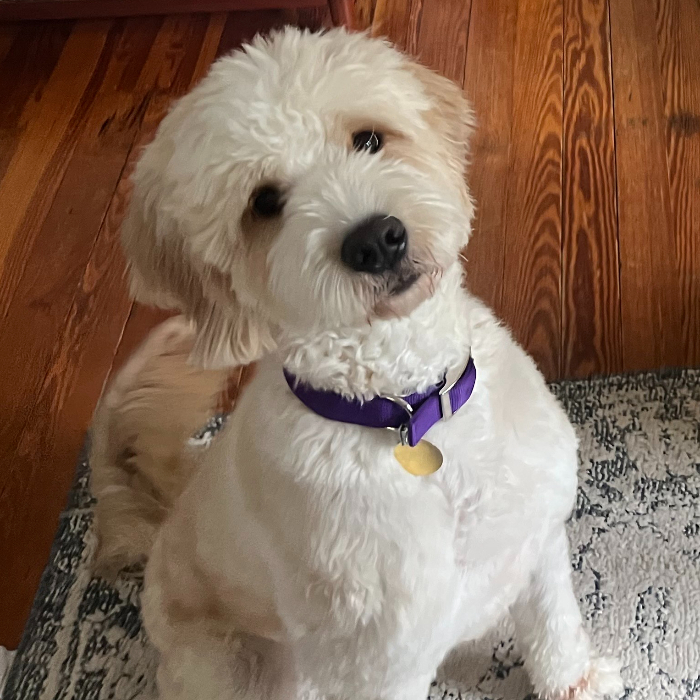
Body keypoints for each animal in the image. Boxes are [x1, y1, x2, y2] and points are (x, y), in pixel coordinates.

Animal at [91, 24, 624, 700]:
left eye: (368, 138)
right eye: (263, 202)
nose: (375, 240)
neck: (408, 409)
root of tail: (160, 525)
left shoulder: (535, 537)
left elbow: (554, 624)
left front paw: (574, 681)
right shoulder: (379, 664)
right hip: (236, 663)